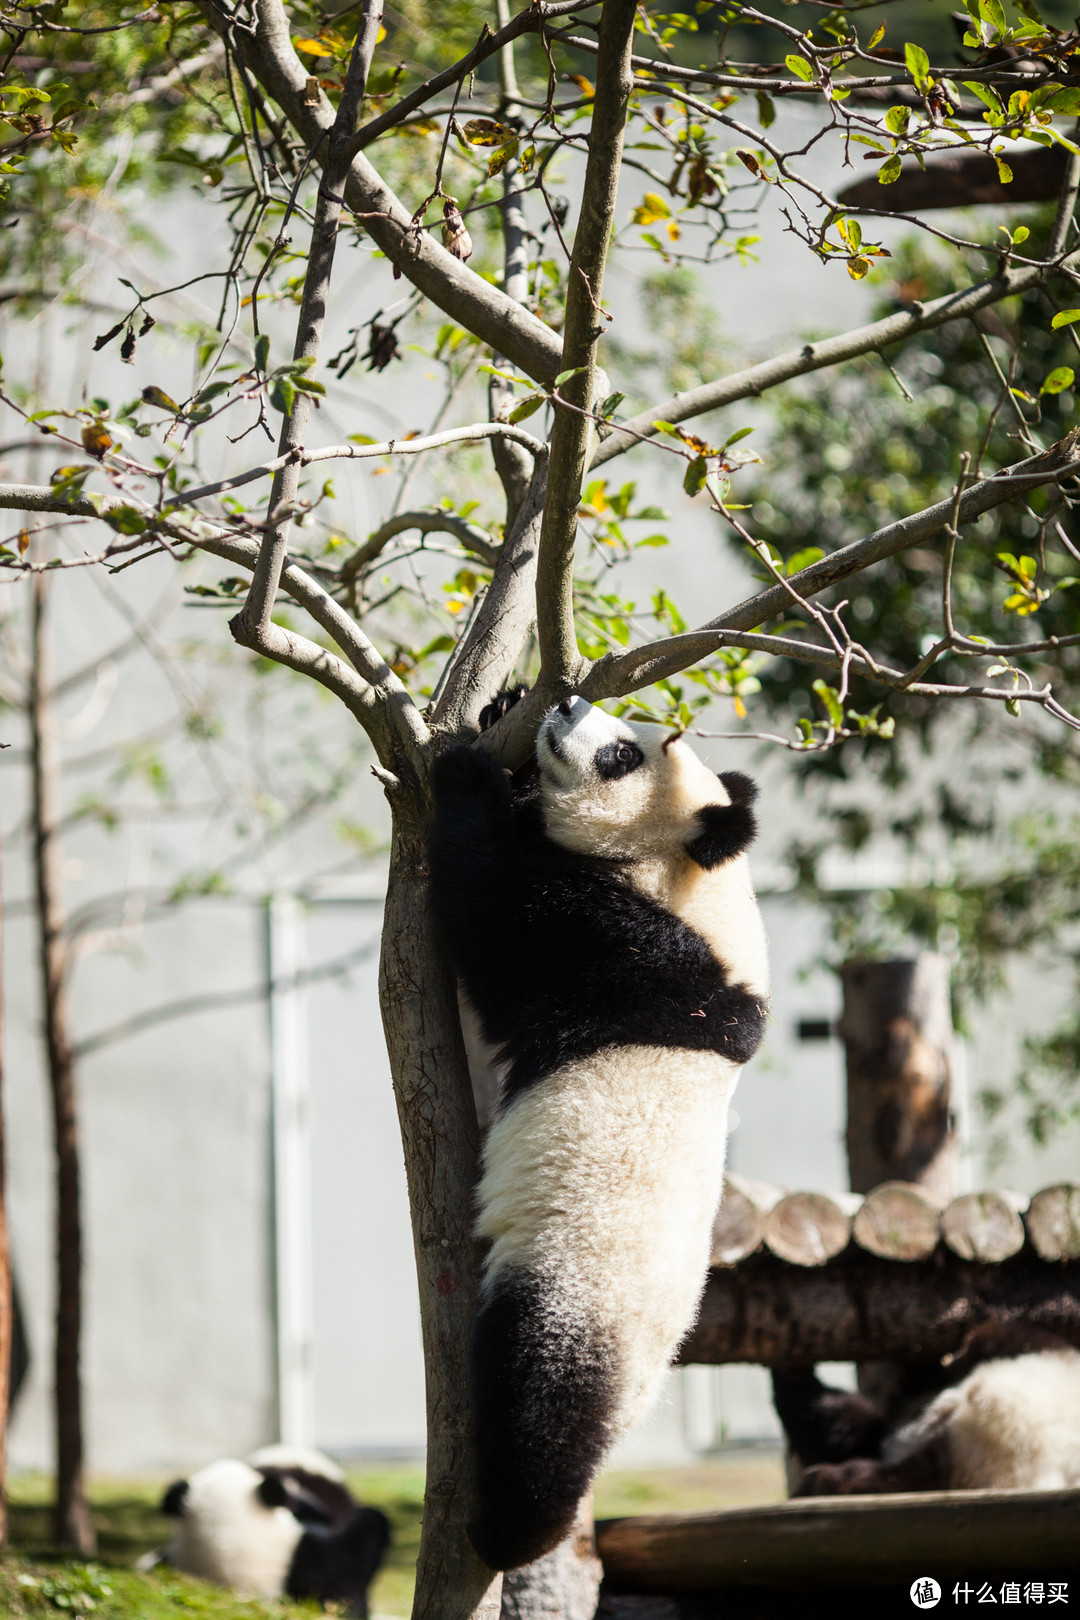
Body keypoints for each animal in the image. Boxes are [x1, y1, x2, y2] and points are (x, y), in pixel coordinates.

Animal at [427, 693, 773, 1568]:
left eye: (622, 756)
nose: (566, 702)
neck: (690, 882)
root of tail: (642, 1394)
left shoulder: (634, 960)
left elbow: (498, 911)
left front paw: (468, 777)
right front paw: (501, 711)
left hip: (577, 1289)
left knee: (541, 1406)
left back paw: (511, 1531)